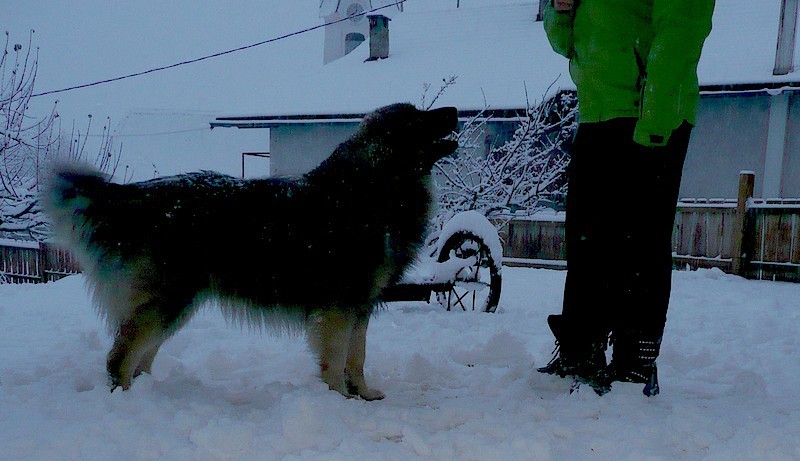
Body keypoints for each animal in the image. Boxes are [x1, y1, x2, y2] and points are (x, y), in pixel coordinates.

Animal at [43, 102, 456, 398]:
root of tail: (135, 195)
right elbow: (336, 358)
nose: (454, 111)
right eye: (418, 117)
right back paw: (127, 400)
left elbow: (357, 356)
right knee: (121, 356)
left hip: (176, 305)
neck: (373, 188)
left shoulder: (361, 305)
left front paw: (363, 394)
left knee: (141, 355)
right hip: (167, 300)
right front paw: (338, 400)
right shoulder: (338, 308)